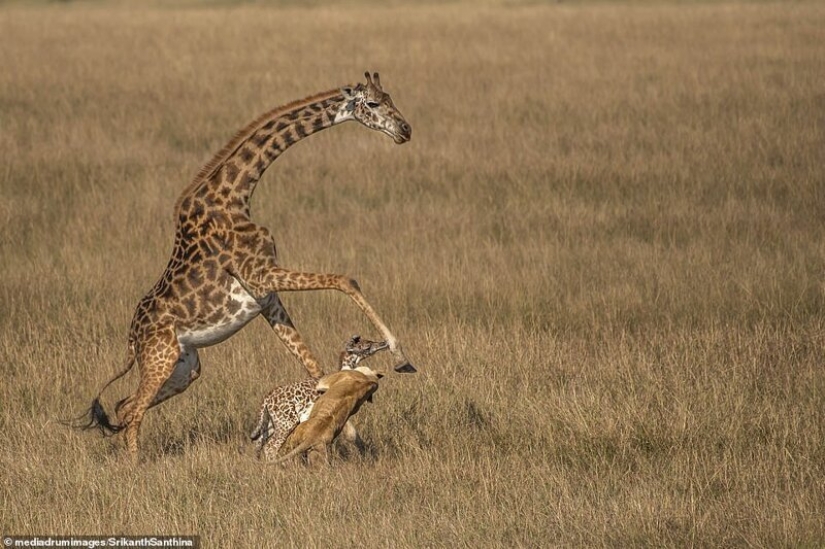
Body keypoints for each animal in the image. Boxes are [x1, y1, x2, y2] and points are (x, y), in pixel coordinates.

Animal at [77, 72, 414, 458]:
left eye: (390, 97)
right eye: (372, 103)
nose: (405, 130)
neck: (236, 195)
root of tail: (132, 339)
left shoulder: (266, 297)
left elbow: (311, 363)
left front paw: (352, 434)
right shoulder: (261, 275)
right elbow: (344, 279)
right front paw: (400, 356)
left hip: (185, 367)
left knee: (125, 405)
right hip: (160, 358)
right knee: (132, 411)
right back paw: (135, 466)